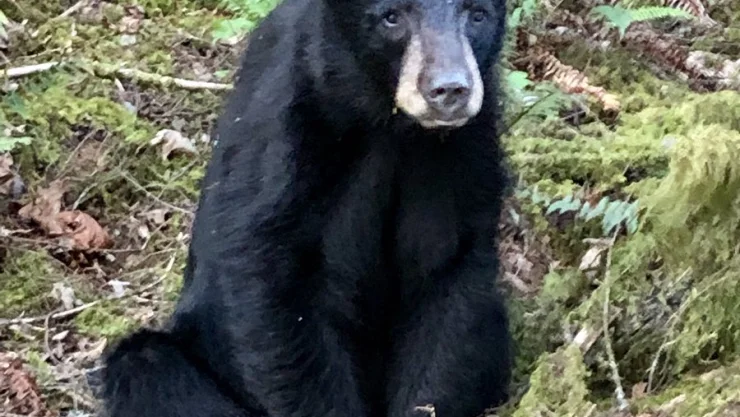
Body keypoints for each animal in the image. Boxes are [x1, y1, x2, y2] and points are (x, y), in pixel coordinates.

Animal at [100, 0, 512, 415]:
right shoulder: (289, 122)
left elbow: (448, 269)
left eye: (478, 15)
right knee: (146, 366)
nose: (450, 89)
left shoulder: (465, 148)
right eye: (392, 17)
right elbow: (268, 279)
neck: (388, 124)